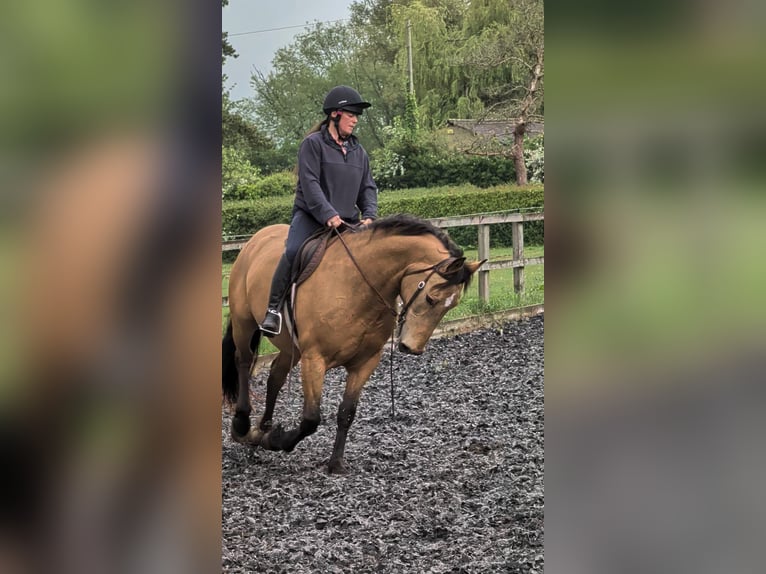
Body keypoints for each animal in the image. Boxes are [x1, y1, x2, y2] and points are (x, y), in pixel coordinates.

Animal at [222, 214, 483, 474]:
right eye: (430, 298)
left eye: (452, 305)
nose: (412, 348)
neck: (358, 286)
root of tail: (257, 238)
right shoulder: (314, 360)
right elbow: (311, 419)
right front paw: (277, 440)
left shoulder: (365, 363)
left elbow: (347, 412)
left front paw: (336, 463)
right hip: (244, 323)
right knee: (243, 362)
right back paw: (242, 425)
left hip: (290, 348)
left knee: (275, 376)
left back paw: (259, 432)